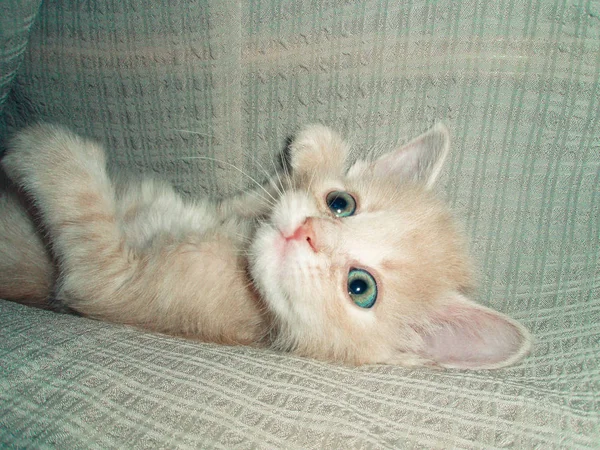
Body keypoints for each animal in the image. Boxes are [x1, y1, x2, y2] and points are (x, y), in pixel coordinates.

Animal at [2, 123, 532, 370]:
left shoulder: (107, 284)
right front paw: (313, 149)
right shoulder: (234, 209)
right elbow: (268, 192)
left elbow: (82, 209)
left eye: (361, 288)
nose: (307, 232)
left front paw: (41, 147)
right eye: (340, 203)